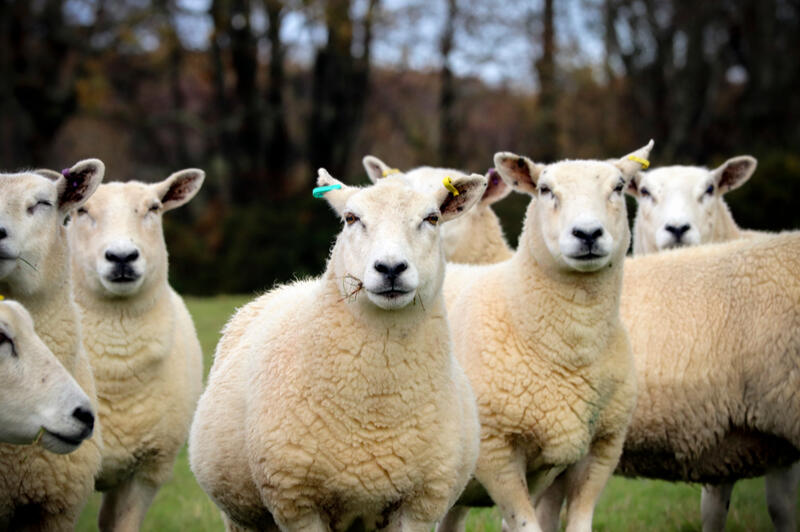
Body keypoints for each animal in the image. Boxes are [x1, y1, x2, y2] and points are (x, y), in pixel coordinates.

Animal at [189, 169, 486, 532]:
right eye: (351, 218)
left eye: (432, 218)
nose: (390, 268)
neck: (380, 400)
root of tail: (290, 286)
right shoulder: (297, 502)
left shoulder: (421, 503)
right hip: (243, 517)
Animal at [437, 142, 653, 532]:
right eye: (545, 189)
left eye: (618, 187)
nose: (587, 233)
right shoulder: (497, 450)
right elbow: (526, 525)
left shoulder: (602, 446)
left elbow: (579, 523)